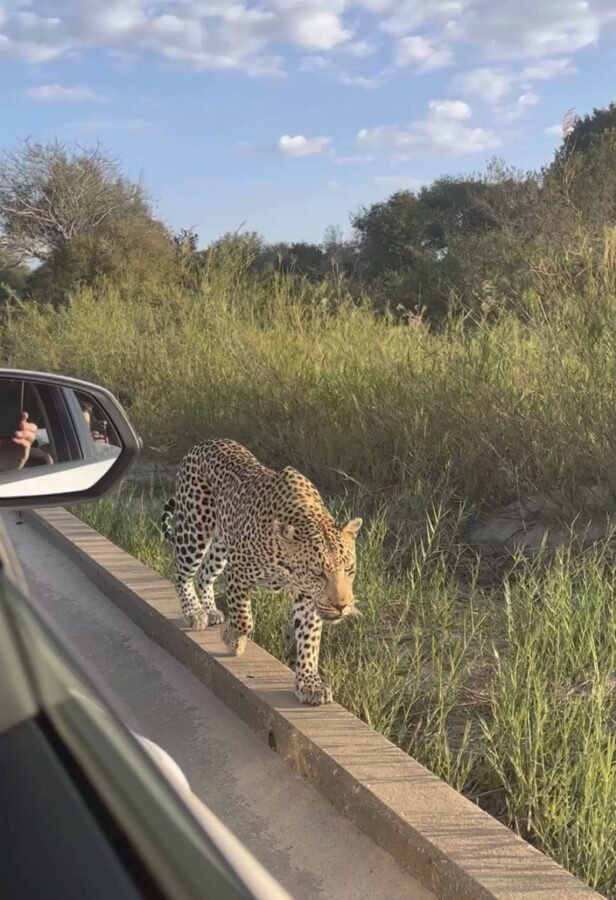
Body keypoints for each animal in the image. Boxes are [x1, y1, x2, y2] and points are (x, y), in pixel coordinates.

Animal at [161, 439, 362, 705]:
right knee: (182, 573)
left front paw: (309, 683)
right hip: (195, 531)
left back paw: (211, 610)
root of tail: (205, 442)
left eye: (349, 569)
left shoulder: (308, 597)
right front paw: (231, 638)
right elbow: (244, 619)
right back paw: (195, 612)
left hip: (221, 547)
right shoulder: (239, 573)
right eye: (318, 573)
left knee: (205, 575)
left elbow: (309, 639)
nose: (342, 606)